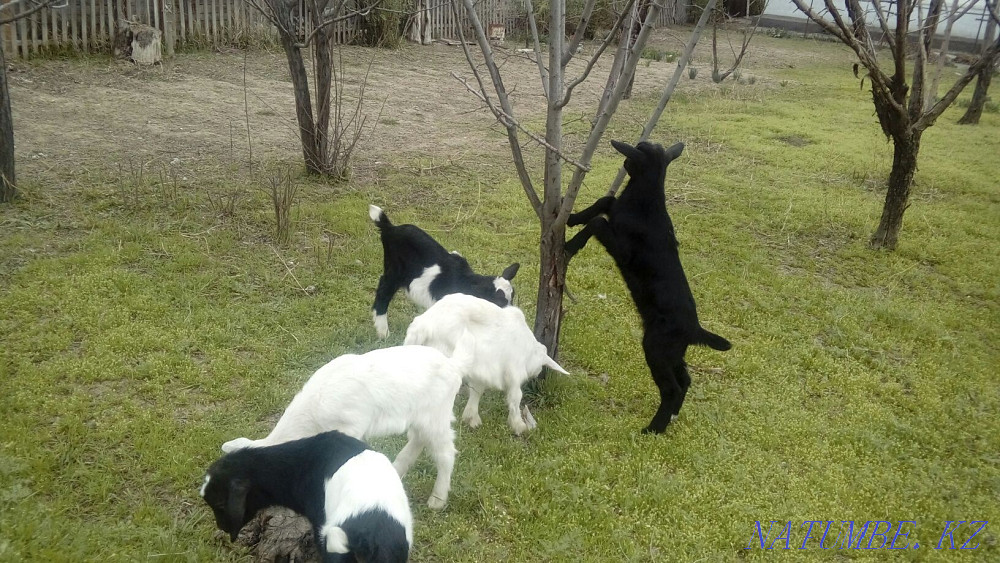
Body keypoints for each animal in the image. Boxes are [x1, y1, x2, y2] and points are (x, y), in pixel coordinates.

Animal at [221, 343, 472, 509]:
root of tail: (454, 365)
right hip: (421, 416)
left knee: (445, 453)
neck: (312, 414)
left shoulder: (351, 425)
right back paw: (396, 471)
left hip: (437, 413)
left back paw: (437, 500)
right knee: (418, 440)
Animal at [369, 204, 520, 338]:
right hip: (394, 269)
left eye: (512, 298)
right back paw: (383, 332)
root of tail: (390, 228)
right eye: (498, 301)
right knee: (384, 291)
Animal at [404, 293, 568, 436]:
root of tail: (423, 326)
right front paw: (519, 426)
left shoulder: (480, 371)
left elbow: (477, 390)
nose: (538, 373)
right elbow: (515, 397)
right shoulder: (514, 372)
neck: (529, 348)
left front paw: (471, 419)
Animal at [565, 140, 731, 434]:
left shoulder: (622, 248)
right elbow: (606, 201)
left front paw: (570, 244)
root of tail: (695, 329)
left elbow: (598, 222)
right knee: (685, 381)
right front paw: (573, 217)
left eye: (633, 156)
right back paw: (671, 417)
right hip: (673, 352)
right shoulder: (615, 209)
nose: (623, 162)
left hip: (656, 348)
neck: (644, 203)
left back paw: (654, 428)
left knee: (672, 388)